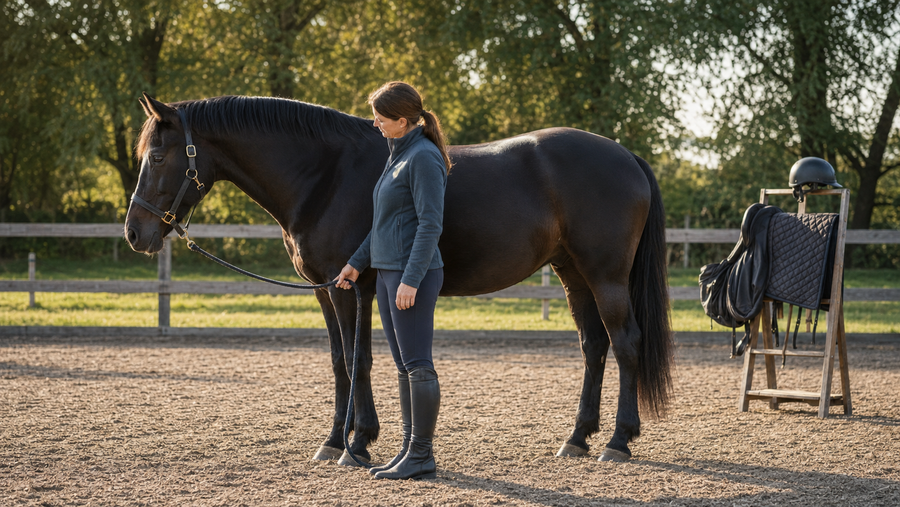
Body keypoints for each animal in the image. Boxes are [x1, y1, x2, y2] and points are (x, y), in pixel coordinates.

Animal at [125, 93, 674, 464]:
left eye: (157, 156)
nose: (135, 232)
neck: (325, 174)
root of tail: (626, 155)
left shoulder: (349, 289)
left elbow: (357, 360)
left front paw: (355, 443)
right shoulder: (329, 291)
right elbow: (341, 361)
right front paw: (339, 442)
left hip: (605, 276)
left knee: (625, 343)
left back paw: (618, 441)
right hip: (573, 274)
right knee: (593, 346)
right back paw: (577, 438)